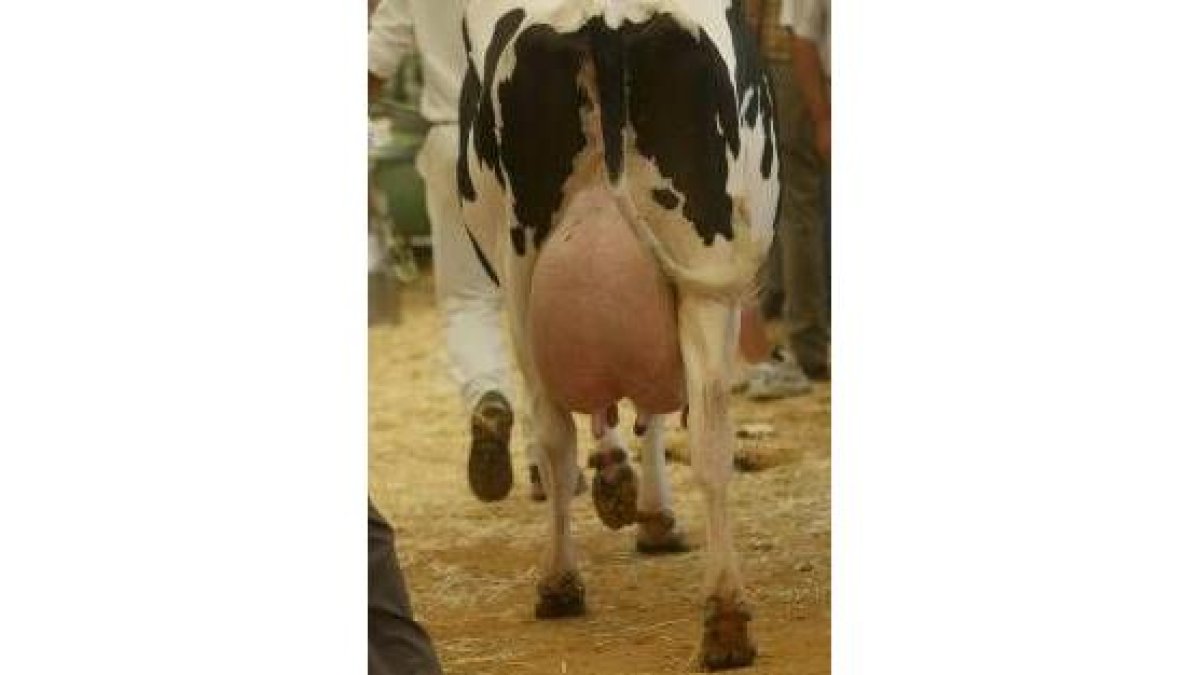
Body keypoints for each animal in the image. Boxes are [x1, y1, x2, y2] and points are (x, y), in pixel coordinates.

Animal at [457, 0, 779, 669]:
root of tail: (603, 20)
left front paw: (624, 488)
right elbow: (654, 407)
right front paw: (648, 508)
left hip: (523, 273)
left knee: (554, 435)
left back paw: (560, 580)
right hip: (700, 267)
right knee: (710, 436)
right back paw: (726, 620)